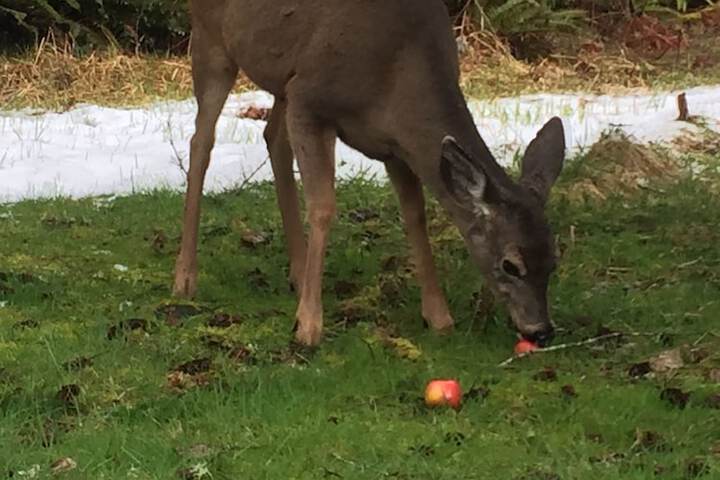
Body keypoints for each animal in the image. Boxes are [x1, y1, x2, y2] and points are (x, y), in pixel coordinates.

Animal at [172, 1, 564, 350]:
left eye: (553, 260)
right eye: (510, 265)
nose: (541, 331)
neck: (398, 71)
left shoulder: (396, 147)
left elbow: (415, 217)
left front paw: (438, 317)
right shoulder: (311, 97)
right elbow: (323, 208)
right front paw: (308, 326)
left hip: (282, 76)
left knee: (274, 138)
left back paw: (297, 272)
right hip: (212, 39)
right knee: (201, 142)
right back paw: (185, 278)